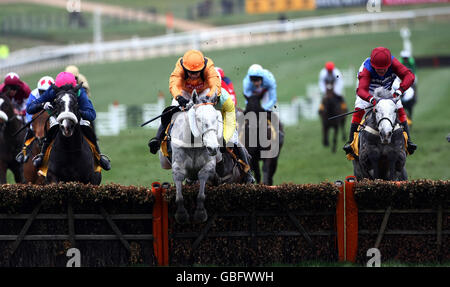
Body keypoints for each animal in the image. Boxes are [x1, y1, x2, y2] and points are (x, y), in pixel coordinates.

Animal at [170, 91, 222, 225]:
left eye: (216, 118)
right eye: (198, 118)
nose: (213, 147)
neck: (193, 145)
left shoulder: (209, 164)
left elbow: (202, 180)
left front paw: (200, 213)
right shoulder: (178, 166)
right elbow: (179, 194)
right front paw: (181, 214)